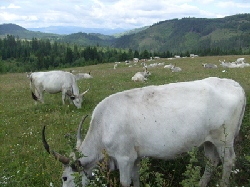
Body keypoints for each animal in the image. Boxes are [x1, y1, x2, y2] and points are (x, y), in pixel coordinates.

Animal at [43, 76, 246, 186]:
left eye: (64, 178)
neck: (102, 127)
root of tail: (234, 84)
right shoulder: (135, 157)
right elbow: (136, 178)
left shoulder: (124, 158)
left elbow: (125, 182)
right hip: (208, 140)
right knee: (212, 161)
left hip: (224, 139)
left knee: (228, 161)